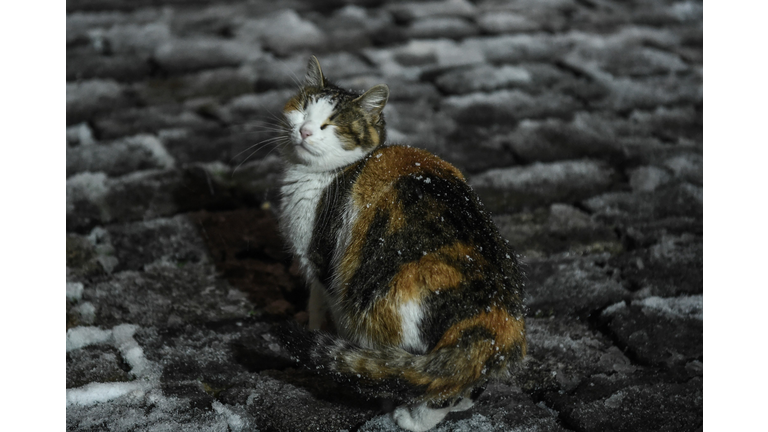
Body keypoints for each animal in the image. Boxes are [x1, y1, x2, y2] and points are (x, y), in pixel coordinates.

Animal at [276, 57, 528, 432]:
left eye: (330, 124)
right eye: (302, 110)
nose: (305, 131)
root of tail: (496, 315)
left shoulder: (321, 262)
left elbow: (319, 305)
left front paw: (317, 331)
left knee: (429, 379)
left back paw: (409, 417)